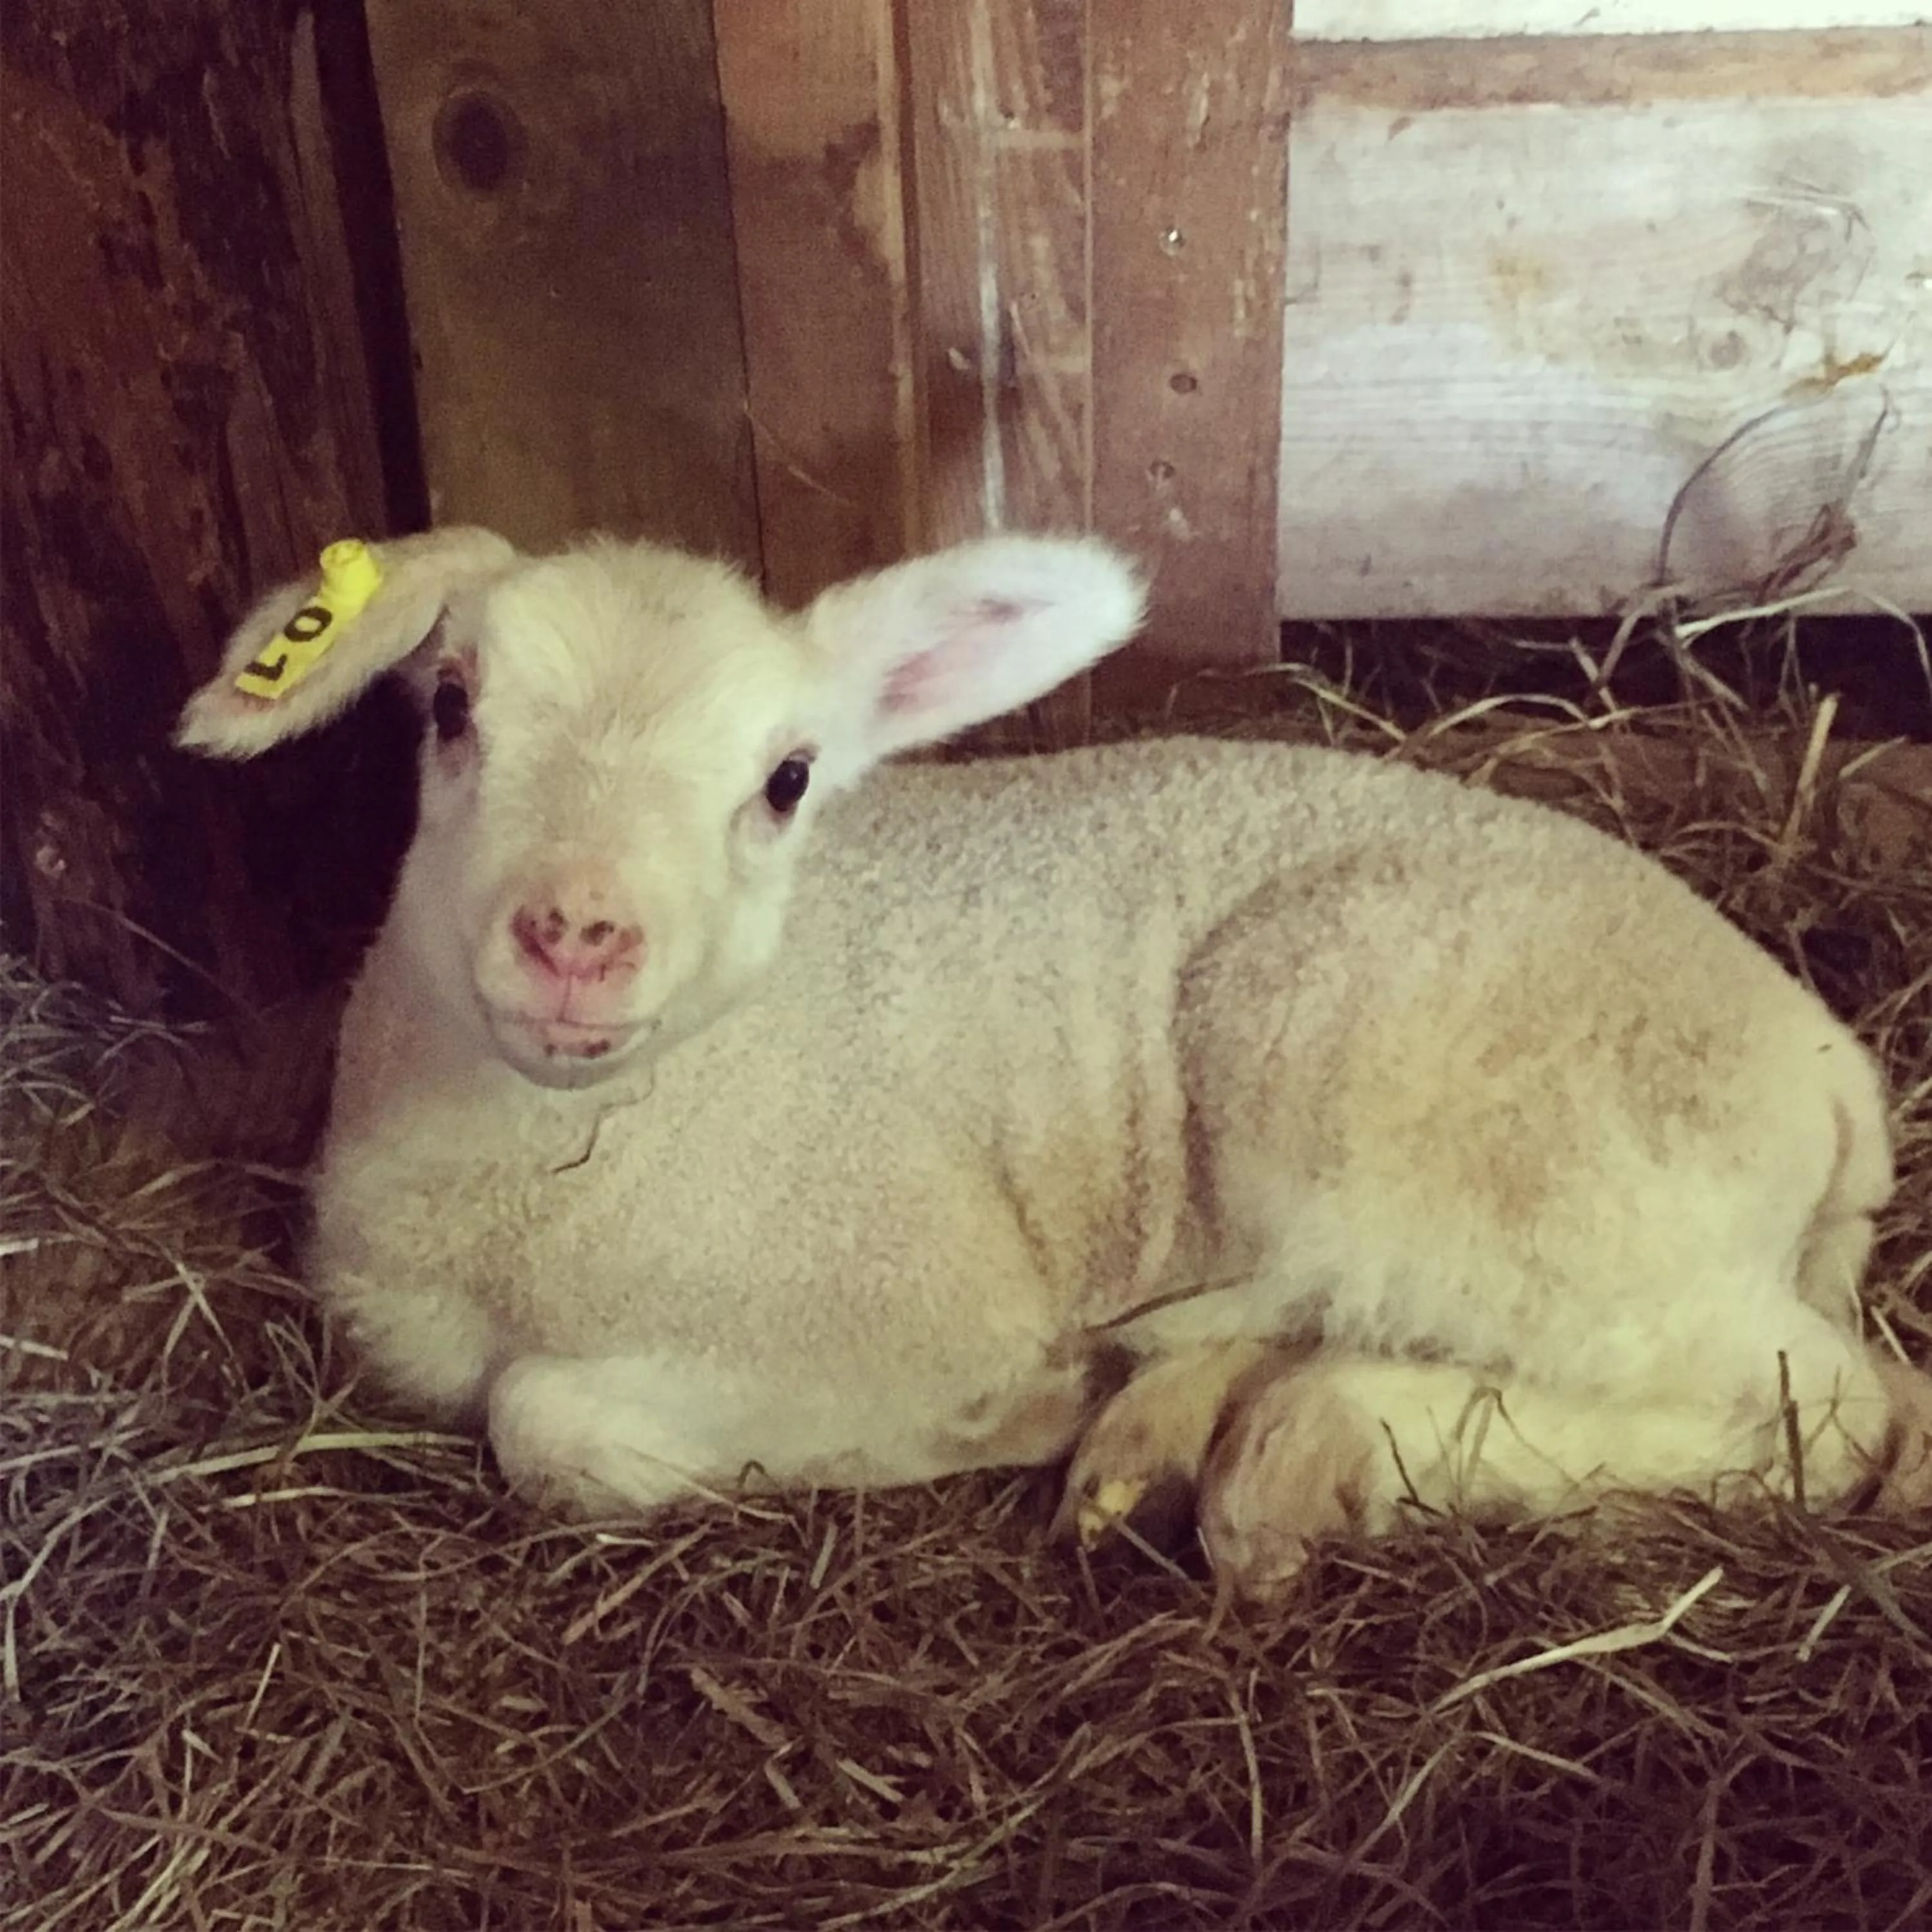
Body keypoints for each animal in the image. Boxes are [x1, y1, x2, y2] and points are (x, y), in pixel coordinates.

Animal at [176, 527, 1932, 1597]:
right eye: (450, 708)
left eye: (788, 779)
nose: (578, 934)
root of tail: (1832, 1064)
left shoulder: (906, 1293)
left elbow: (548, 1425)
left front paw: (1007, 1412)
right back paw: (1183, 1427)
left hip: (1445, 1115)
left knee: (1832, 1410)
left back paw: (1301, 1452)